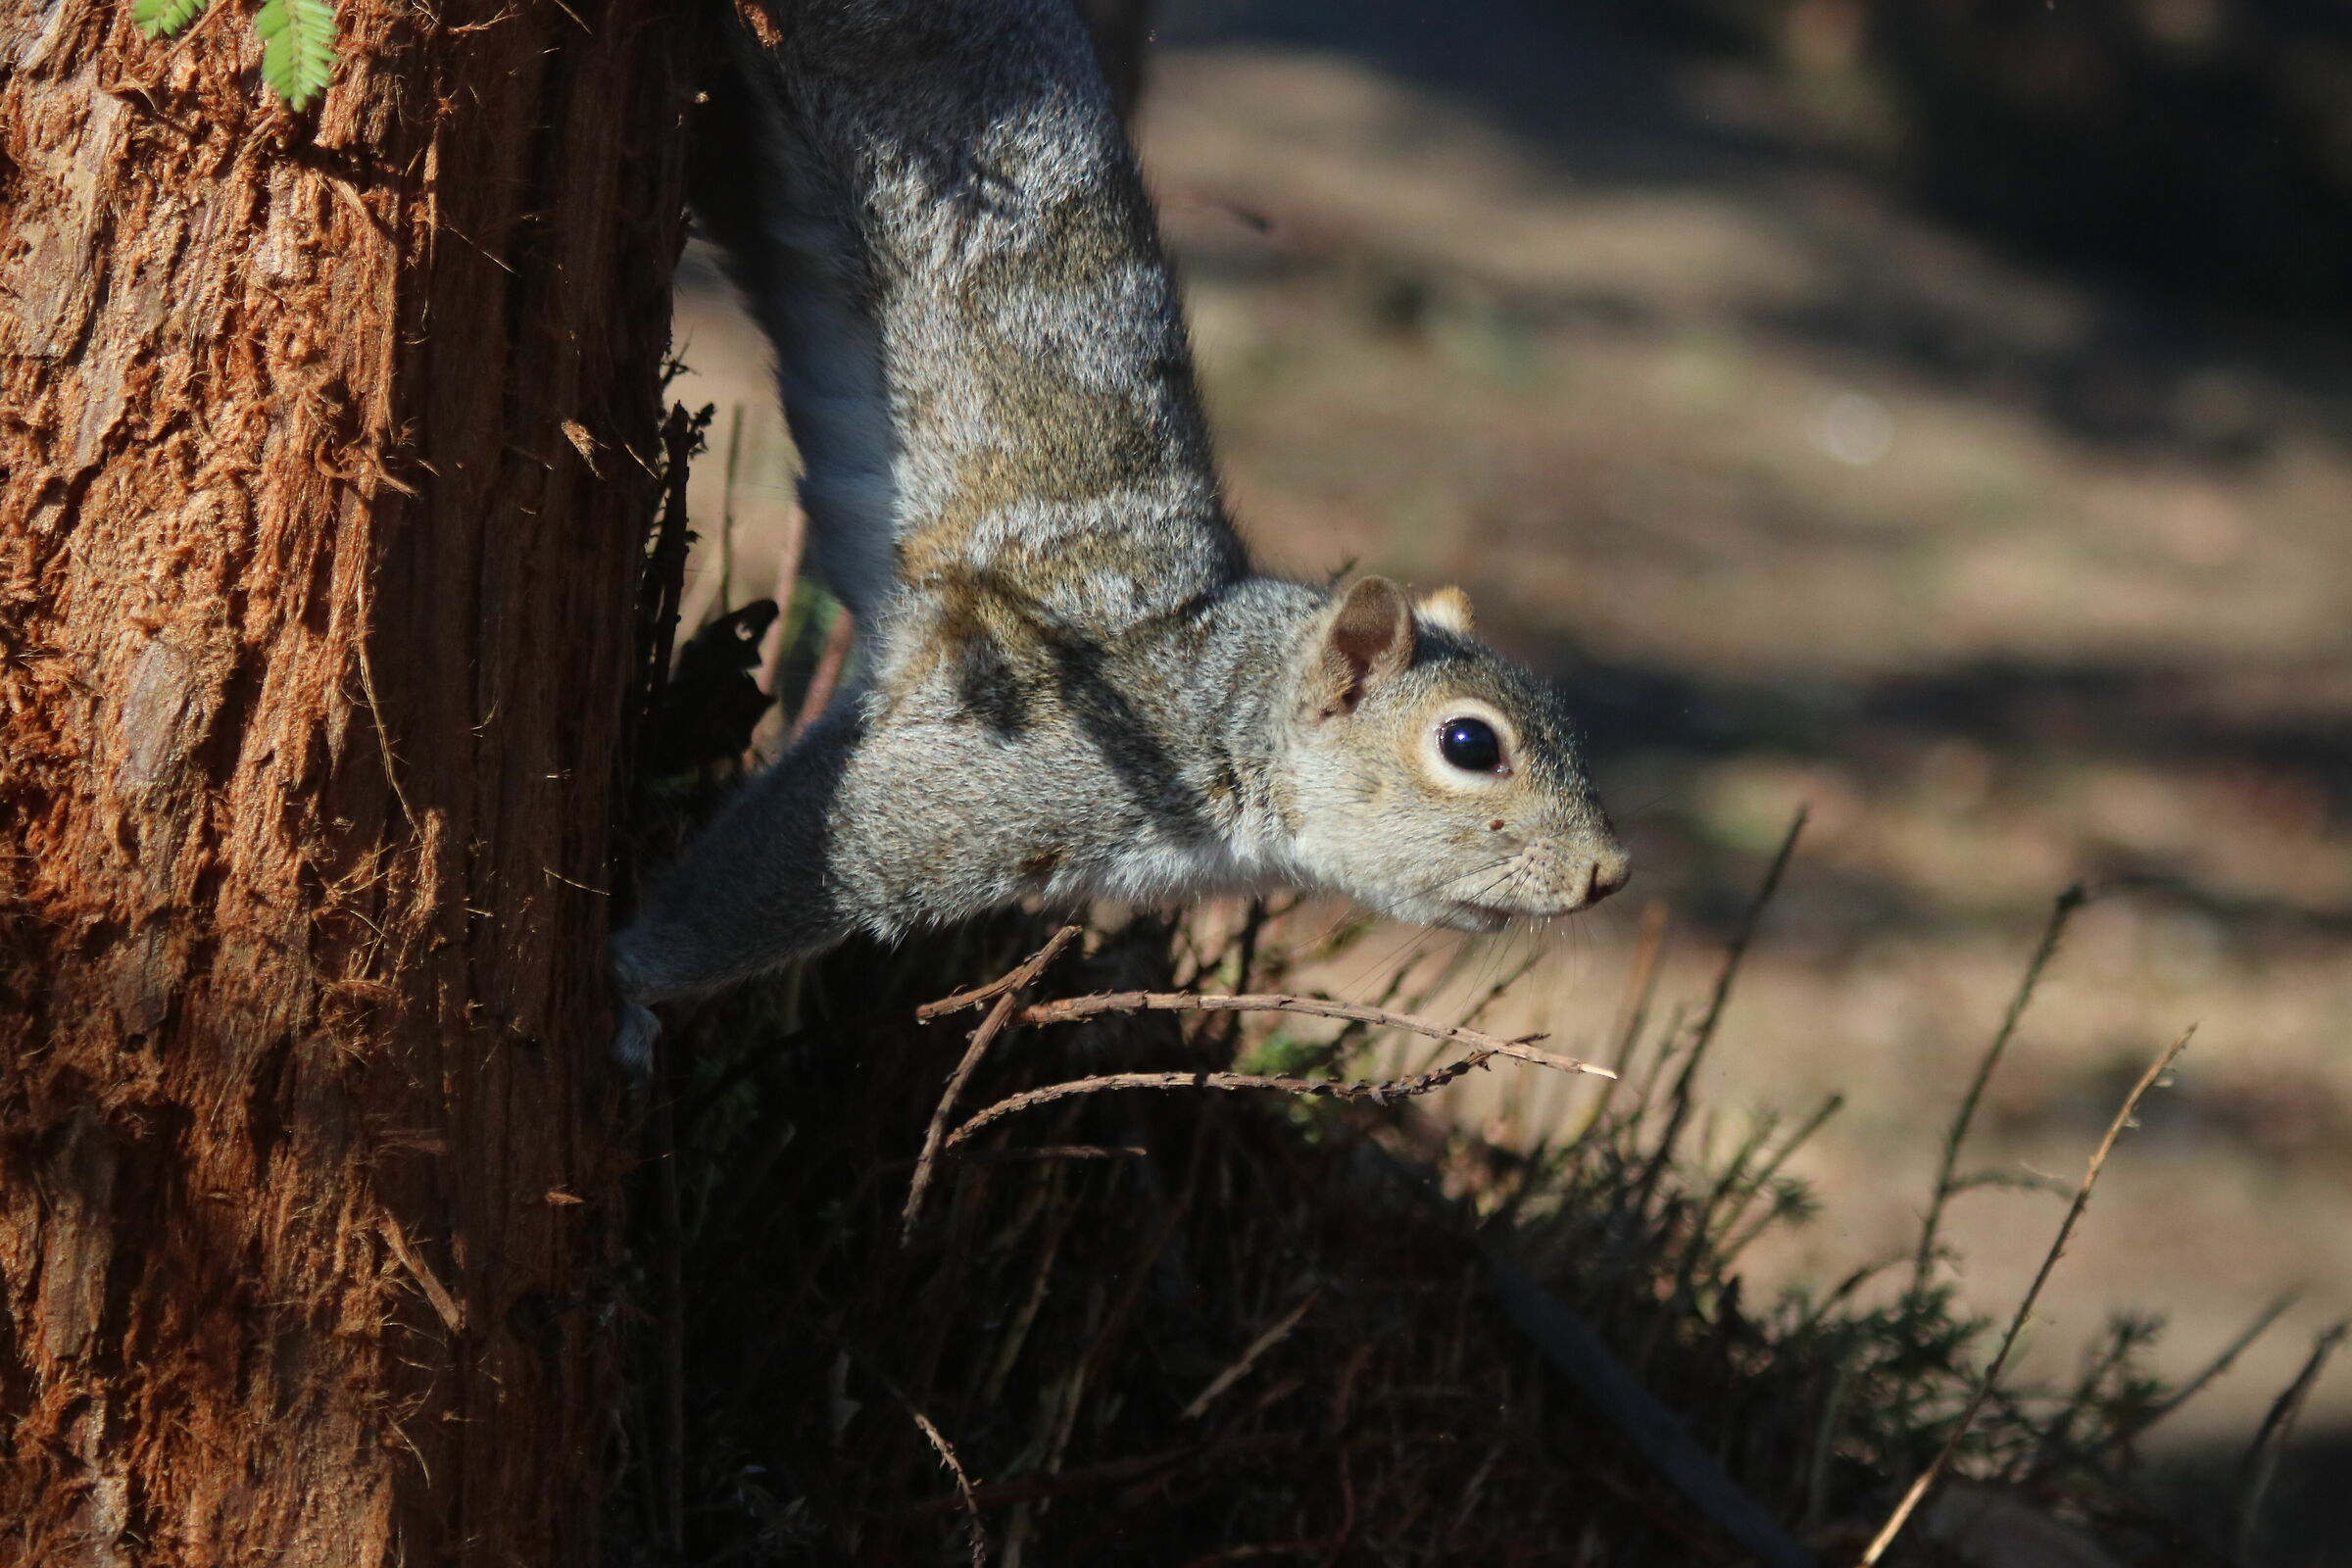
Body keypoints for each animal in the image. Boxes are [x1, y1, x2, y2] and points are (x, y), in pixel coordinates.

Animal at [612, 0, 1627, 1061]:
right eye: (1470, 744)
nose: (1611, 873)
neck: (1211, 697)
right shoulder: (989, 775)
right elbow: (785, 861)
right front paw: (628, 987)